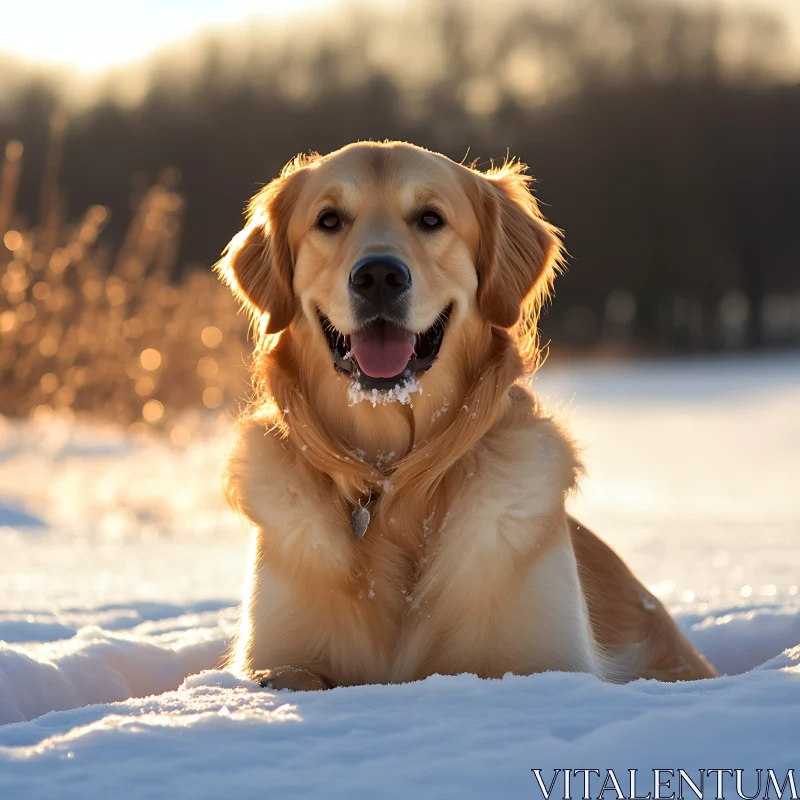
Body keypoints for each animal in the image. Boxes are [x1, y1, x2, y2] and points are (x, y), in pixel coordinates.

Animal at [216, 141, 716, 692]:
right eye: (329, 220)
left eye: (431, 218)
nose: (378, 276)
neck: (394, 479)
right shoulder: (278, 652)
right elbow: (289, 672)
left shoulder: (546, 658)